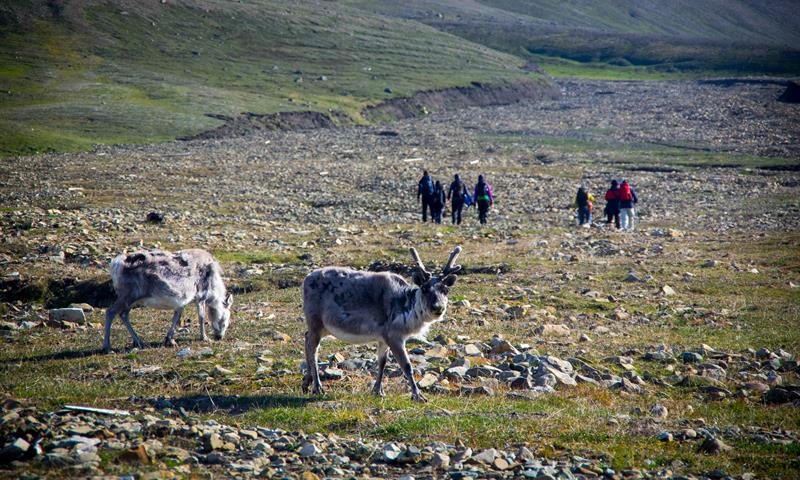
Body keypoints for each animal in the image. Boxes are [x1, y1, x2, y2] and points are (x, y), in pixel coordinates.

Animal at [102, 249, 233, 353]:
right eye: (225, 319)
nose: (219, 337)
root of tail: (116, 264)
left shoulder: (182, 302)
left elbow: (176, 317)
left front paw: (170, 340)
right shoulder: (201, 296)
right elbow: (201, 317)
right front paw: (205, 338)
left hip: (133, 299)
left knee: (123, 314)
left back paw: (138, 341)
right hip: (128, 295)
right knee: (110, 312)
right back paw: (107, 347)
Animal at [302, 246, 462, 402]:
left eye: (446, 290)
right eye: (424, 288)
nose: (438, 307)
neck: (407, 307)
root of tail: (306, 279)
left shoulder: (383, 338)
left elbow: (382, 363)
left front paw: (378, 391)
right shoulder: (394, 336)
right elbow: (407, 366)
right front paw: (418, 395)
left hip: (322, 327)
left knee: (306, 337)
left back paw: (306, 382)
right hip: (315, 321)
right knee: (313, 349)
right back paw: (317, 387)